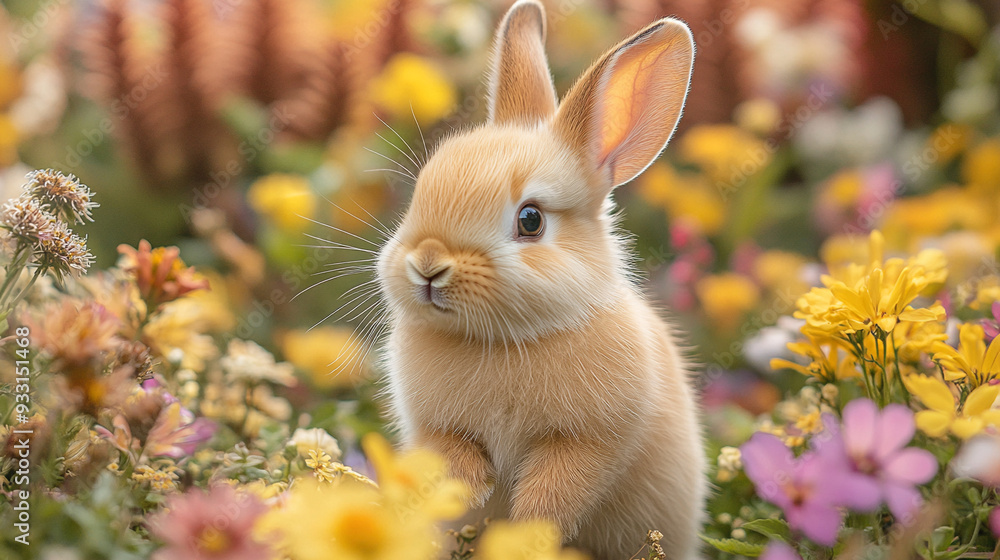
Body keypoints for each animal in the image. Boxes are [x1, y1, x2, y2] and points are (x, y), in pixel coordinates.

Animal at [375, 1, 704, 558]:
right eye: (420, 191)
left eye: (530, 220)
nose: (428, 264)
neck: (503, 341)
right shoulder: (433, 425)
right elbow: (451, 453)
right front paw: (473, 490)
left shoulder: (591, 441)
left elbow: (560, 489)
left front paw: (526, 529)